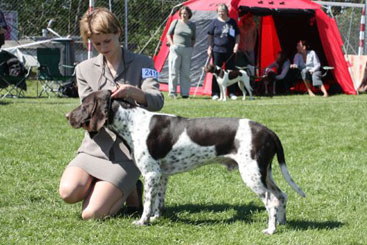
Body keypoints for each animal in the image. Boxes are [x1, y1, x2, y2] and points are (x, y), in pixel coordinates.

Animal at [65, 89, 304, 234]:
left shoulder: (151, 174)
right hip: (265, 172)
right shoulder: (161, 175)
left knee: (271, 201)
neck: (132, 123)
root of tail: (268, 131)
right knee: (281, 196)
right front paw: (155, 219)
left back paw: (271, 229)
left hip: (252, 175)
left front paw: (142, 222)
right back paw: (282, 223)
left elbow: (148, 204)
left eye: (84, 104)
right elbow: (158, 202)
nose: (67, 116)